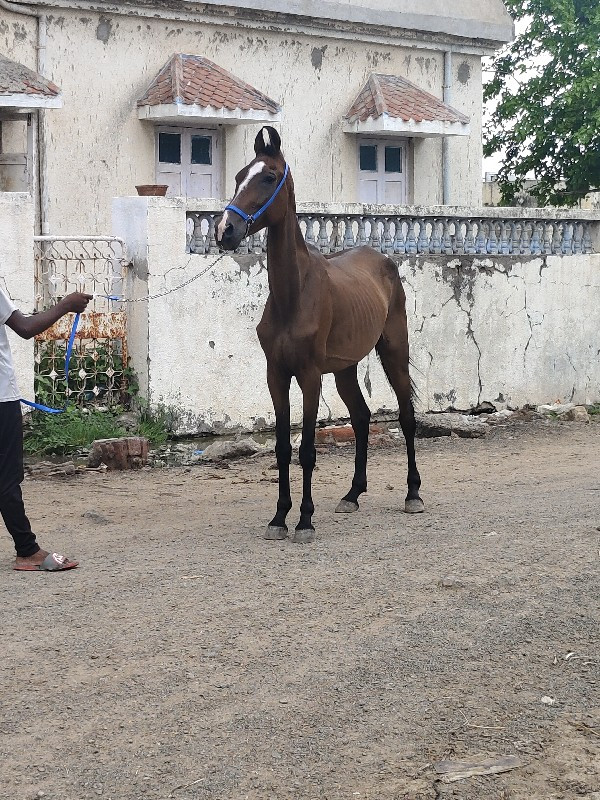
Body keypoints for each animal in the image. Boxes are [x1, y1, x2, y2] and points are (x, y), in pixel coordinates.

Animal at [216, 128, 422, 544]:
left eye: (268, 177)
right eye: (240, 176)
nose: (225, 230)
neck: (293, 295)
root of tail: (384, 261)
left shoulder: (310, 377)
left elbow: (307, 450)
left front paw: (305, 520)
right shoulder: (276, 376)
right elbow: (282, 448)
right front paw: (279, 517)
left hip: (393, 352)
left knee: (407, 416)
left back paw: (412, 494)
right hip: (345, 370)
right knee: (361, 418)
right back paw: (353, 494)